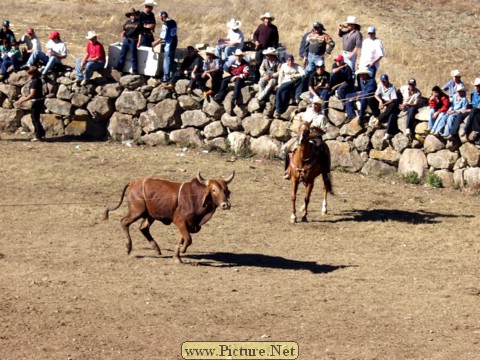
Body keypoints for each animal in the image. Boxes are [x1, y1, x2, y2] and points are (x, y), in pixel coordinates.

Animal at [103, 172, 234, 262]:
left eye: (226, 190)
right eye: (213, 190)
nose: (225, 205)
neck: (195, 197)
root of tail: (133, 182)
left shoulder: (187, 224)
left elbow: (181, 239)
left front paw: (177, 257)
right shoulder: (180, 221)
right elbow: (188, 239)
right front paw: (182, 251)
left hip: (150, 215)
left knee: (143, 228)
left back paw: (156, 249)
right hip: (137, 211)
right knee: (124, 222)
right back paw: (128, 247)